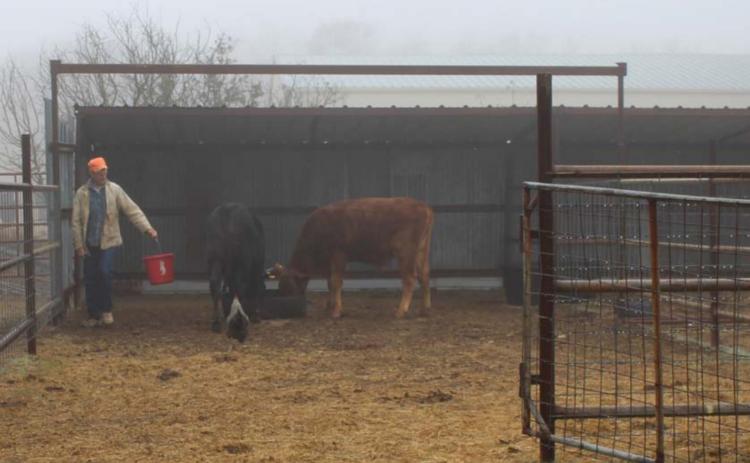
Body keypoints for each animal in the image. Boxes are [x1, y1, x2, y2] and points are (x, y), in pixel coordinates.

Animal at [205, 203, 266, 342]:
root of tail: (227, 209)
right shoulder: (255, 266)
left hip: (215, 258)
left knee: (215, 284)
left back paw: (216, 323)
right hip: (242, 260)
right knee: (239, 285)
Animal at [268, 197, 434, 319]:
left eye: (289, 287)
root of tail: (422, 207)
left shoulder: (339, 256)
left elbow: (335, 282)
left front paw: (336, 311)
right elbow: (330, 283)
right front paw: (329, 306)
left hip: (405, 254)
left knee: (410, 279)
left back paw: (400, 311)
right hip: (421, 252)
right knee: (424, 277)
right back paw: (424, 310)